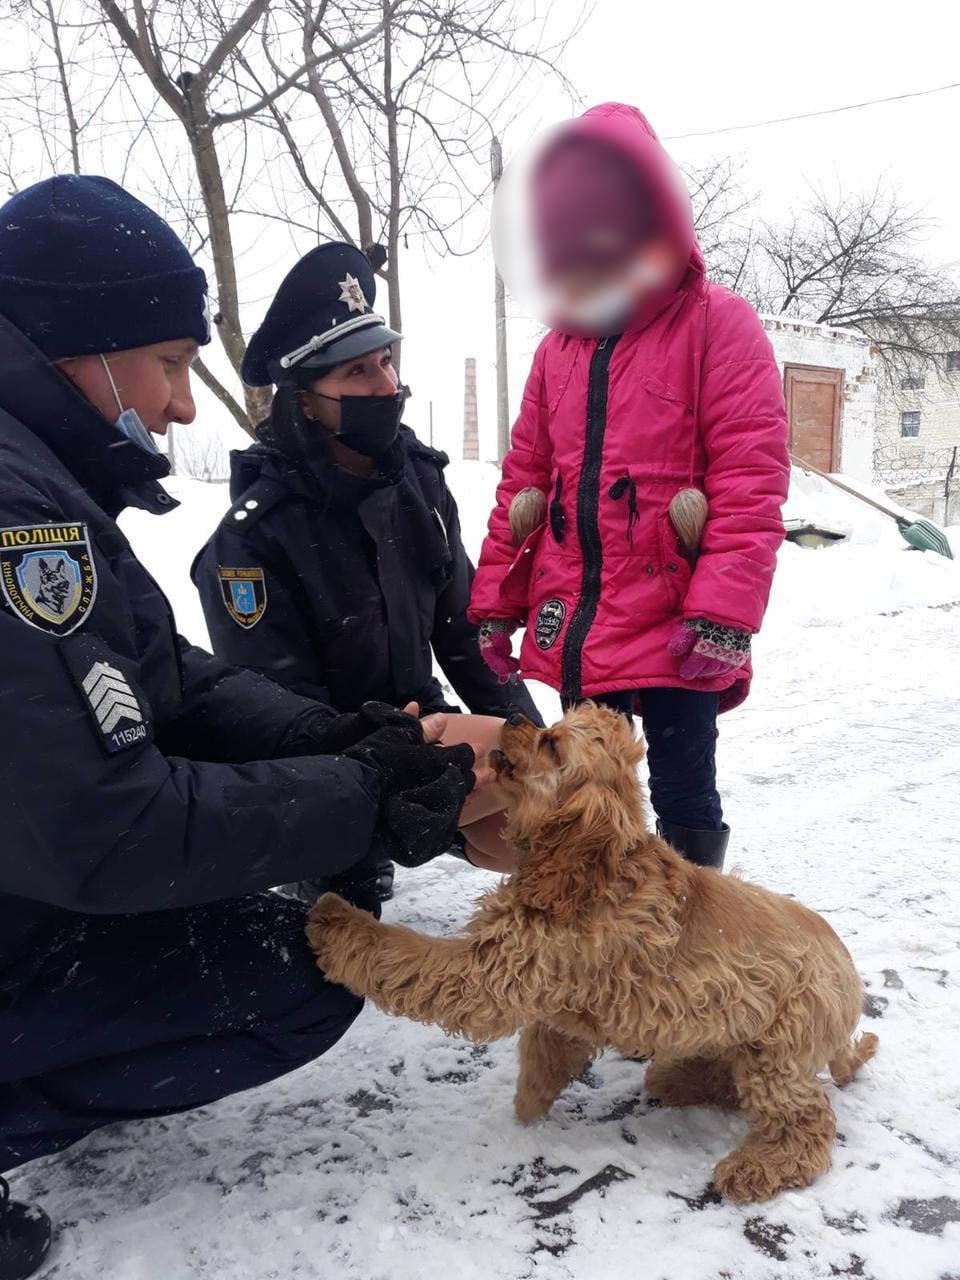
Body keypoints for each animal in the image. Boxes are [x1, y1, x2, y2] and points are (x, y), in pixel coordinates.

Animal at [309, 701, 880, 1198]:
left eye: (553, 744)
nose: (511, 717)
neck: (589, 870)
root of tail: (851, 983)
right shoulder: (557, 995)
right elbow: (544, 1057)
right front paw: (528, 1110)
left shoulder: (487, 974)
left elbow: (405, 956)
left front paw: (333, 916)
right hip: (738, 1031)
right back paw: (677, 1077)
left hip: (779, 1053)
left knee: (806, 1121)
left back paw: (756, 1168)